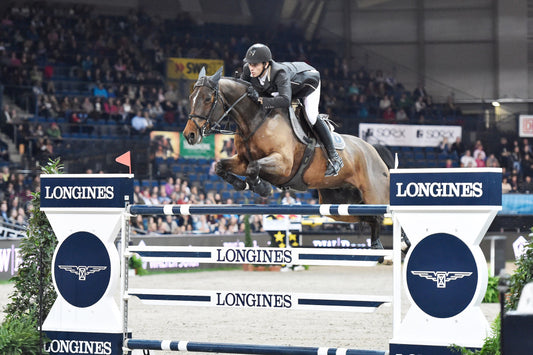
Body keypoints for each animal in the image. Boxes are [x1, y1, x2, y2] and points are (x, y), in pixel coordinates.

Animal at [183, 67, 394, 250]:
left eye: (208, 98)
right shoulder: (242, 160)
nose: (189, 135)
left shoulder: (283, 165)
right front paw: (241, 184)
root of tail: (374, 152)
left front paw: (262, 187)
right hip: (336, 204)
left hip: (374, 196)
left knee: (379, 215)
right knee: (367, 217)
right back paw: (377, 245)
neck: (255, 120)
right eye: (191, 98)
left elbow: (254, 167)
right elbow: (221, 166)